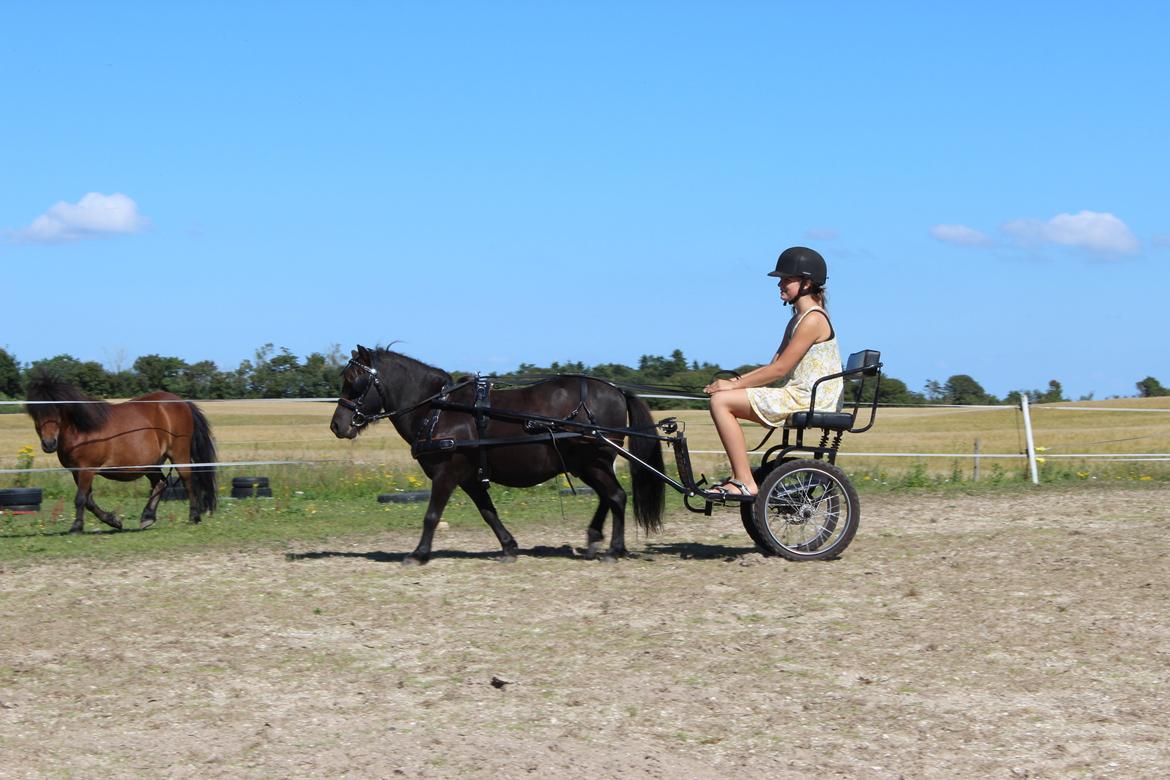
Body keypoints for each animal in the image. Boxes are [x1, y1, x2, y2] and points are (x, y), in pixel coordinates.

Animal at [25, 371, 217, 530]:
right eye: (35, 413)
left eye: (57, 410)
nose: (49, 444)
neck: (82, 430)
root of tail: (182, 402)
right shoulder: (76, 471)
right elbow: (88, 500)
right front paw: (114, 521)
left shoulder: (87, 469)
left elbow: (80, 498)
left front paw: (77, 527)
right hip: (150, 463)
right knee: (161, 483)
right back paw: (147, 517)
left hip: (178, 454)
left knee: (188, 482)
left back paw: (194, 517)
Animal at [329, 346, 669, 561]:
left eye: (355, 382)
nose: (337, 425)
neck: (438, 410)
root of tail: (616, 390)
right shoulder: (469, 478)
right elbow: (488, 512)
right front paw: (508, 547)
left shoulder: (446, 473)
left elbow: (431, 515)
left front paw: (418, 554)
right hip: (587, 464)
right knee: (607, 497)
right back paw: (595, 538)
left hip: (594, 462)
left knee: (616, 497)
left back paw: (613, 549)